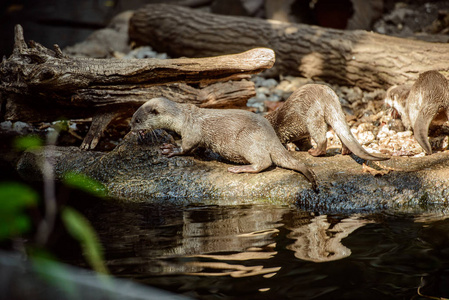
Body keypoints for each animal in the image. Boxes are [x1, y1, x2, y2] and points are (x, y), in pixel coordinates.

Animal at [130, 97, 318, 191]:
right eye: (132, 118)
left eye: (138, 120)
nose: (131, 128)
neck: (183, 118)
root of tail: (271, 136)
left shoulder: (192, 130)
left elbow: (187, 146)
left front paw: (172, 148)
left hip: (246, 139)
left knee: (264, 161)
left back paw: (241, 168)